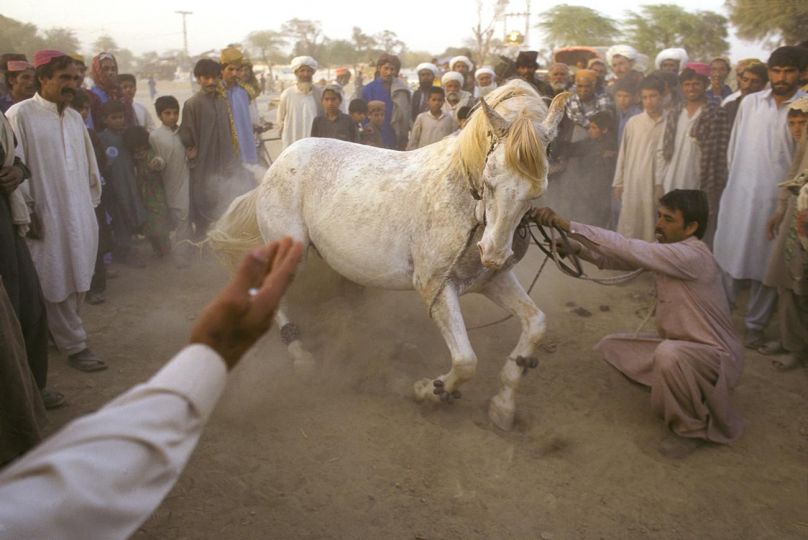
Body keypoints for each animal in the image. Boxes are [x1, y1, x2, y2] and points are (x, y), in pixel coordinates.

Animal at [208, 80, 568, 430]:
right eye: (490, 178)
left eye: (537, 190)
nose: (493, 254)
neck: (463, 200)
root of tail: (280, 161)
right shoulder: (436, 287)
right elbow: (466, 361)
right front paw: (428, 391)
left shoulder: (491, 281)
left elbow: (536, 324)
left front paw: (503, 406)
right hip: (292, 252)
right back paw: (300, 356)